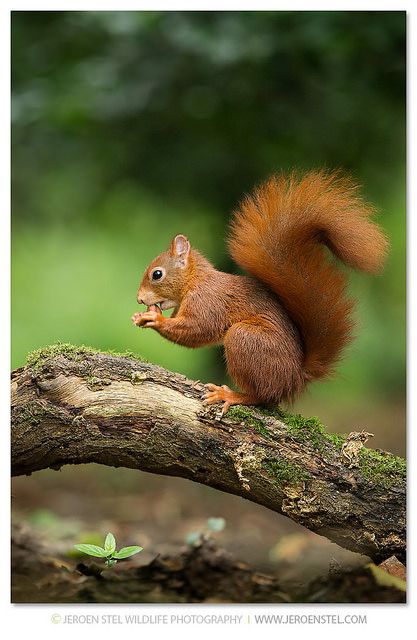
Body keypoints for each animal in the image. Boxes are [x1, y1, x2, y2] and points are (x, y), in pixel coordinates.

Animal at [132, 170, 388, 415]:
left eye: (157, 274)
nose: (139, 299)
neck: (195, 280)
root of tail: (295, 378)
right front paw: (142, 315)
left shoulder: (207, 301)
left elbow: (197, 329)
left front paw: (155, 318)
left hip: (245, 339)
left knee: (264, 397)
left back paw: (231, 395)